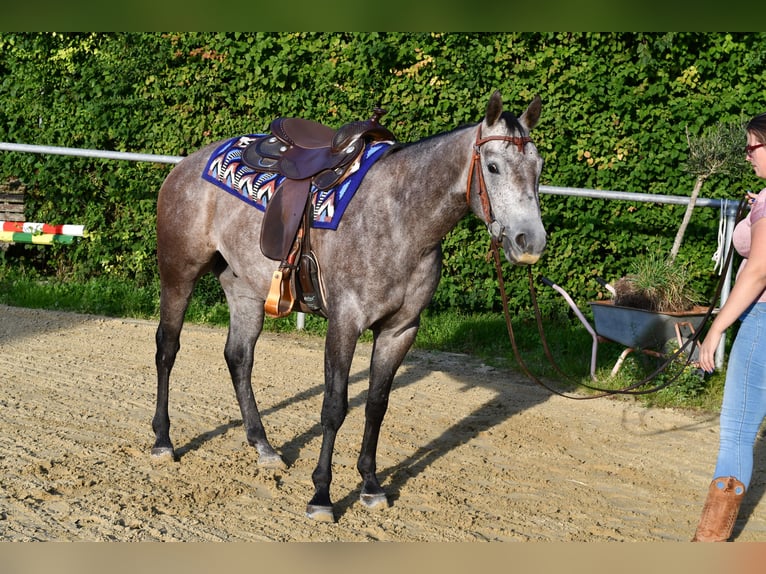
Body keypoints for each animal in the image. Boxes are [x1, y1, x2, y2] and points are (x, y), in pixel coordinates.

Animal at [152, 90, 547, 522]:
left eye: (539, 167)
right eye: (492, 166)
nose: (530, 241)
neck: (399, 219)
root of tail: (188, 164)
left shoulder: (400, 330)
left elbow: (376, 405)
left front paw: (371, 485)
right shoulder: (344, 323)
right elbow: (334, 407)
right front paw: (321, 495)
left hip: (245, 290)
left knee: (239, 357)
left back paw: (264, 447)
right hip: (178, 274)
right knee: (167, 348)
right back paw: (163, 440)